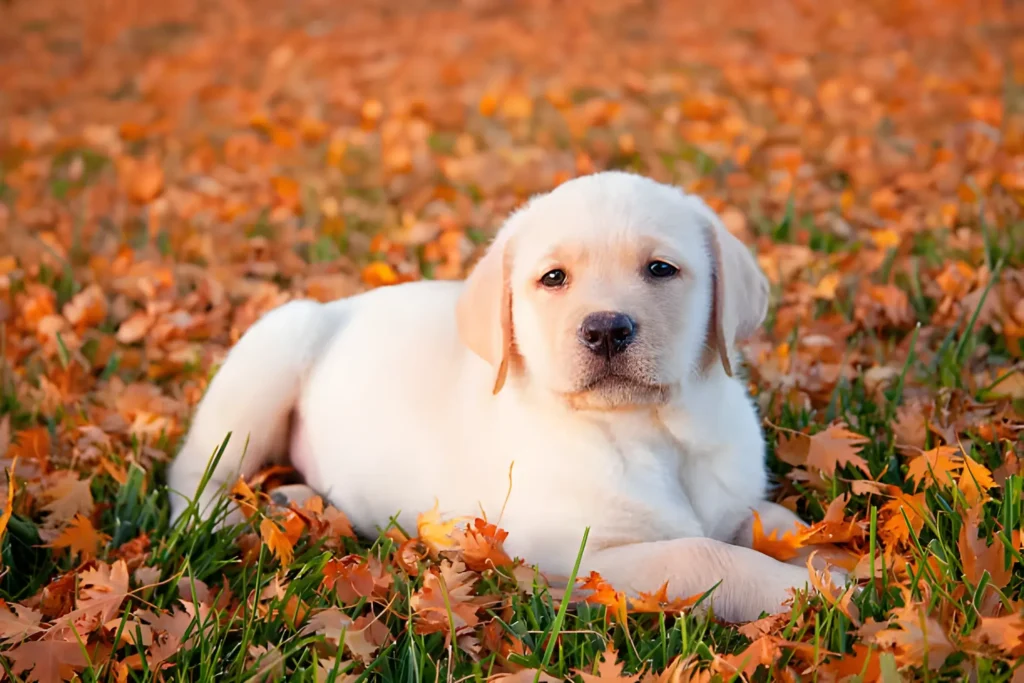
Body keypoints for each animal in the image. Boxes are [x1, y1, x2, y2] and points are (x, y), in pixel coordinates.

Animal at [165, 172, 839, 626]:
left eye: (661, 270)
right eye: (554, 279)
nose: (606, 330)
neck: (652, 430)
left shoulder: (733, 504)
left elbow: (777, 524)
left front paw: (832, 562)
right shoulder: (574, 557)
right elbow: (706, 556)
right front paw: (817, 592)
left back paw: (295, 501)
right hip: (271, 353)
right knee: (193, 470)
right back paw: (224, 518)